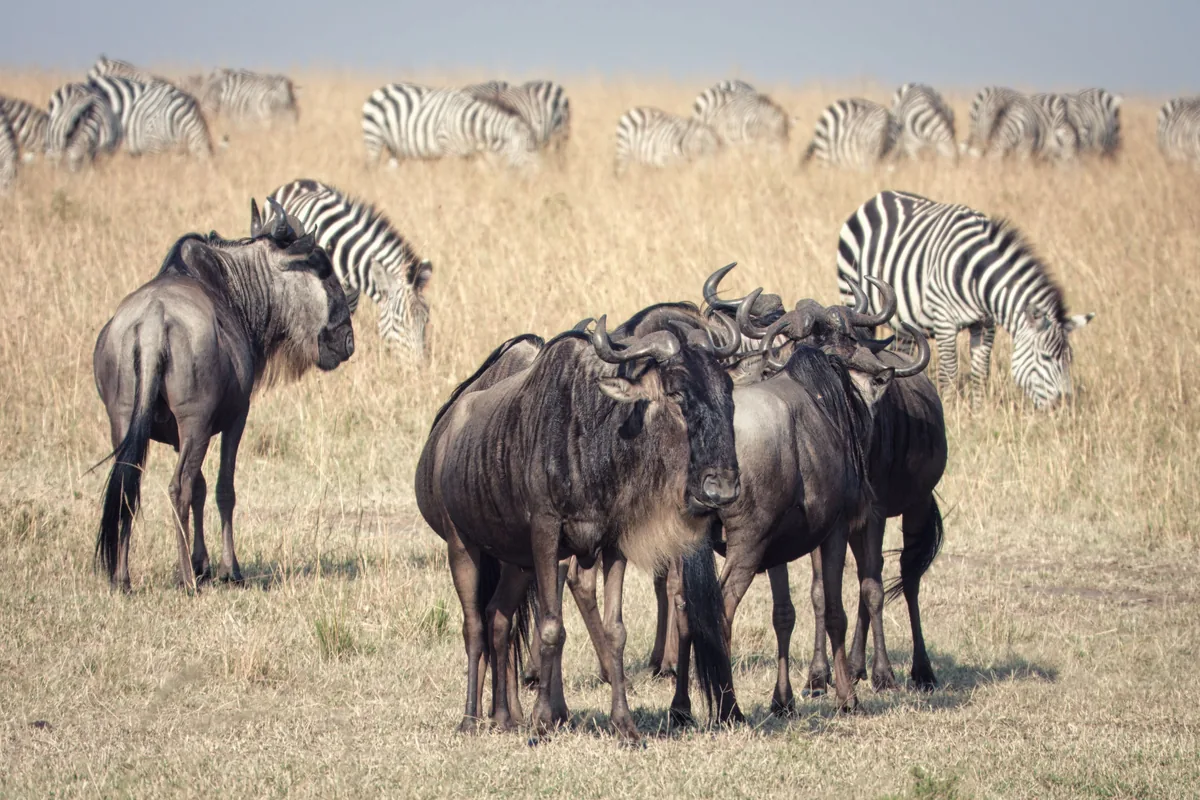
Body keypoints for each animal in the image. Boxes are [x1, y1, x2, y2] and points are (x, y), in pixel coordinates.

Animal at [362, 83, 537, 169]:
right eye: (528, 149)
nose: (537, 179)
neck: (470, 124)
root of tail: (382, 89)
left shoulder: (471, 154)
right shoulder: (448, 150)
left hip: (394, 148)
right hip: (373, 138)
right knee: (371, 168)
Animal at [837, 190, 1093, 410]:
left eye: (1070, 359)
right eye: (1046, 357)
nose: (1064, 407)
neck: (976, 276)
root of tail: (880, 195)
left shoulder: (986, 324)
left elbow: (980, 370)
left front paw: (978, 410)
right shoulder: (945, 320)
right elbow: (949, 370)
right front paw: (950, 406)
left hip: (904, 325)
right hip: (850, 291)